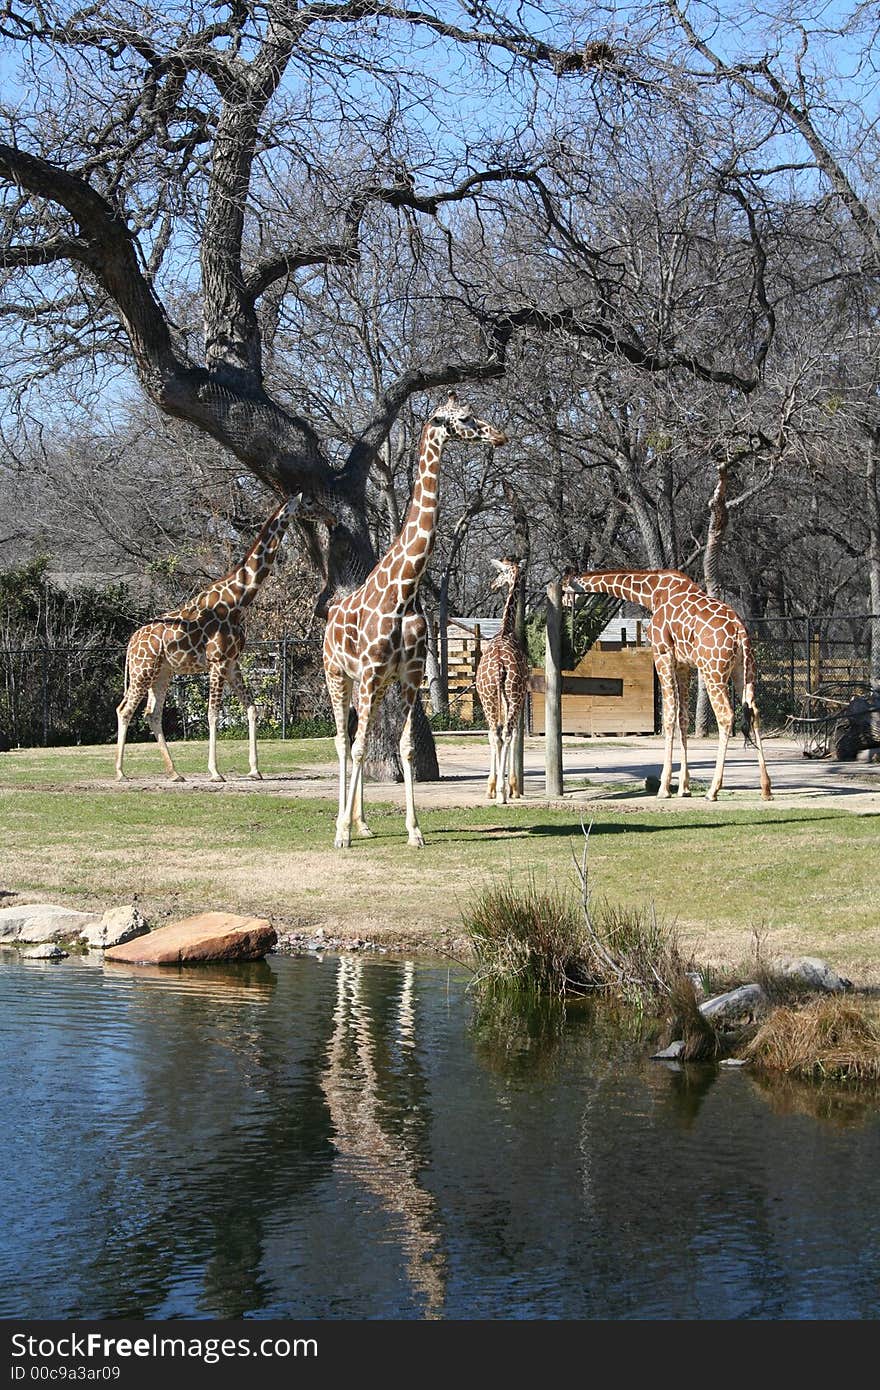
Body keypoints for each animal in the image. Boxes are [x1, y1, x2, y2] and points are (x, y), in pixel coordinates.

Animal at [114, 494, 335, 789]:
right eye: (309, 502)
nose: (332, 517)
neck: (238, 601)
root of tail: (131, 642)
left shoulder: (232, 662)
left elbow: (251, 708)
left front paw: (255, 770)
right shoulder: (216, 661)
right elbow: (213, 713)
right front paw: (215, 772)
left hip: (162, 672)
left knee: (152, 713)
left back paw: (174, 773)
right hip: (143, 670)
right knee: (125, 709)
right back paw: (120, 772)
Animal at [322, 391, 503, 845]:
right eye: (464, 417)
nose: (499, 435)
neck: (404, 591)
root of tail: (329, 621)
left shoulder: (407, 675)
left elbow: (402, 748)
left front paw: (413, 830)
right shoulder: (369, 672)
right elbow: (358, 748)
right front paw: (342, 832)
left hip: (373, 685)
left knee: (362, 735)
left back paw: (363, 822)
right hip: (338, 674)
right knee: (343, 741)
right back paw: (344, 824)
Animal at [558, 567, 772, 806]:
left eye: (565, 590)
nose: (566, 613)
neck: (652, 594)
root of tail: (739, 631)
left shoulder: (662, 654)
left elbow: (668, 717)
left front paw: (664, 788)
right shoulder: (684, 664)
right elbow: (683, 718)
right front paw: (684, 788)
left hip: (713, 671)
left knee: (726, 716)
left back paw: (713, 790)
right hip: (744, 671)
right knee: (754, 713)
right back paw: (766, 788)